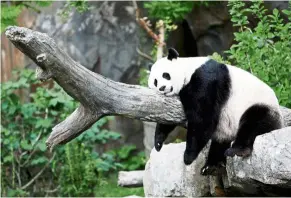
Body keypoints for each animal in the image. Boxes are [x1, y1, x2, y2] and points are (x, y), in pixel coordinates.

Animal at [149, 48, 284, 176]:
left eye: (165, 75)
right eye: (155, 82)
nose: (162, 88)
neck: (188, 70)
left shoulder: (205, 80)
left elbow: (203, 118)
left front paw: (188, 157)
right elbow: (168, 115)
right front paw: (158, 142)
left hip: (260, 106)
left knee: (252, 123)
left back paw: (238, 150)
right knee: (220, 142)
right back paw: (212, 166)